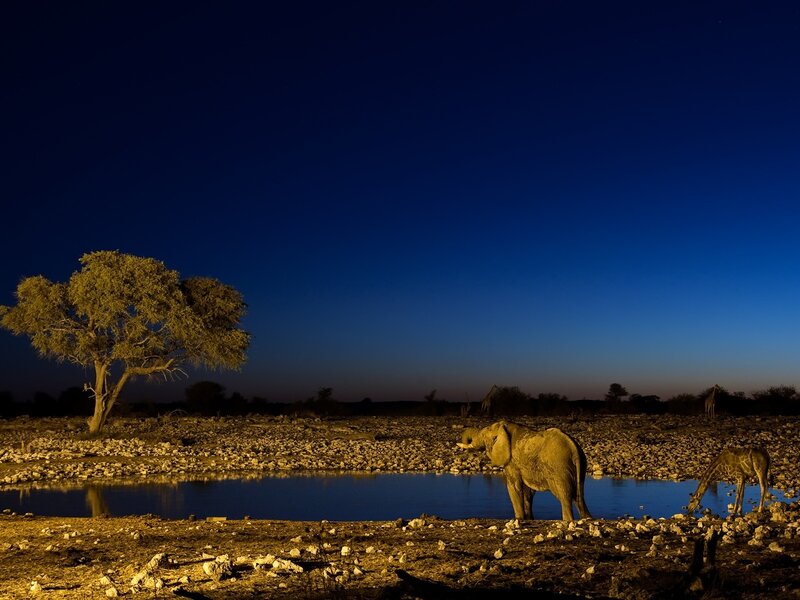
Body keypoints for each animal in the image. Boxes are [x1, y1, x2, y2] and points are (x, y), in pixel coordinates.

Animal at [457, 421, 591, 522]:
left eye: (484, 435)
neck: (504, 427)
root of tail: (574, 449)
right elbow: (528, 492)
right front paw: (529, 519)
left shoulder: (512, 461)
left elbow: (513, 486)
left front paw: (519, 519)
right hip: (581, 466)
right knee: (579, 497)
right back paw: (587, 518)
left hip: (559, 467)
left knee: (565, 496)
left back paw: (568, 520)